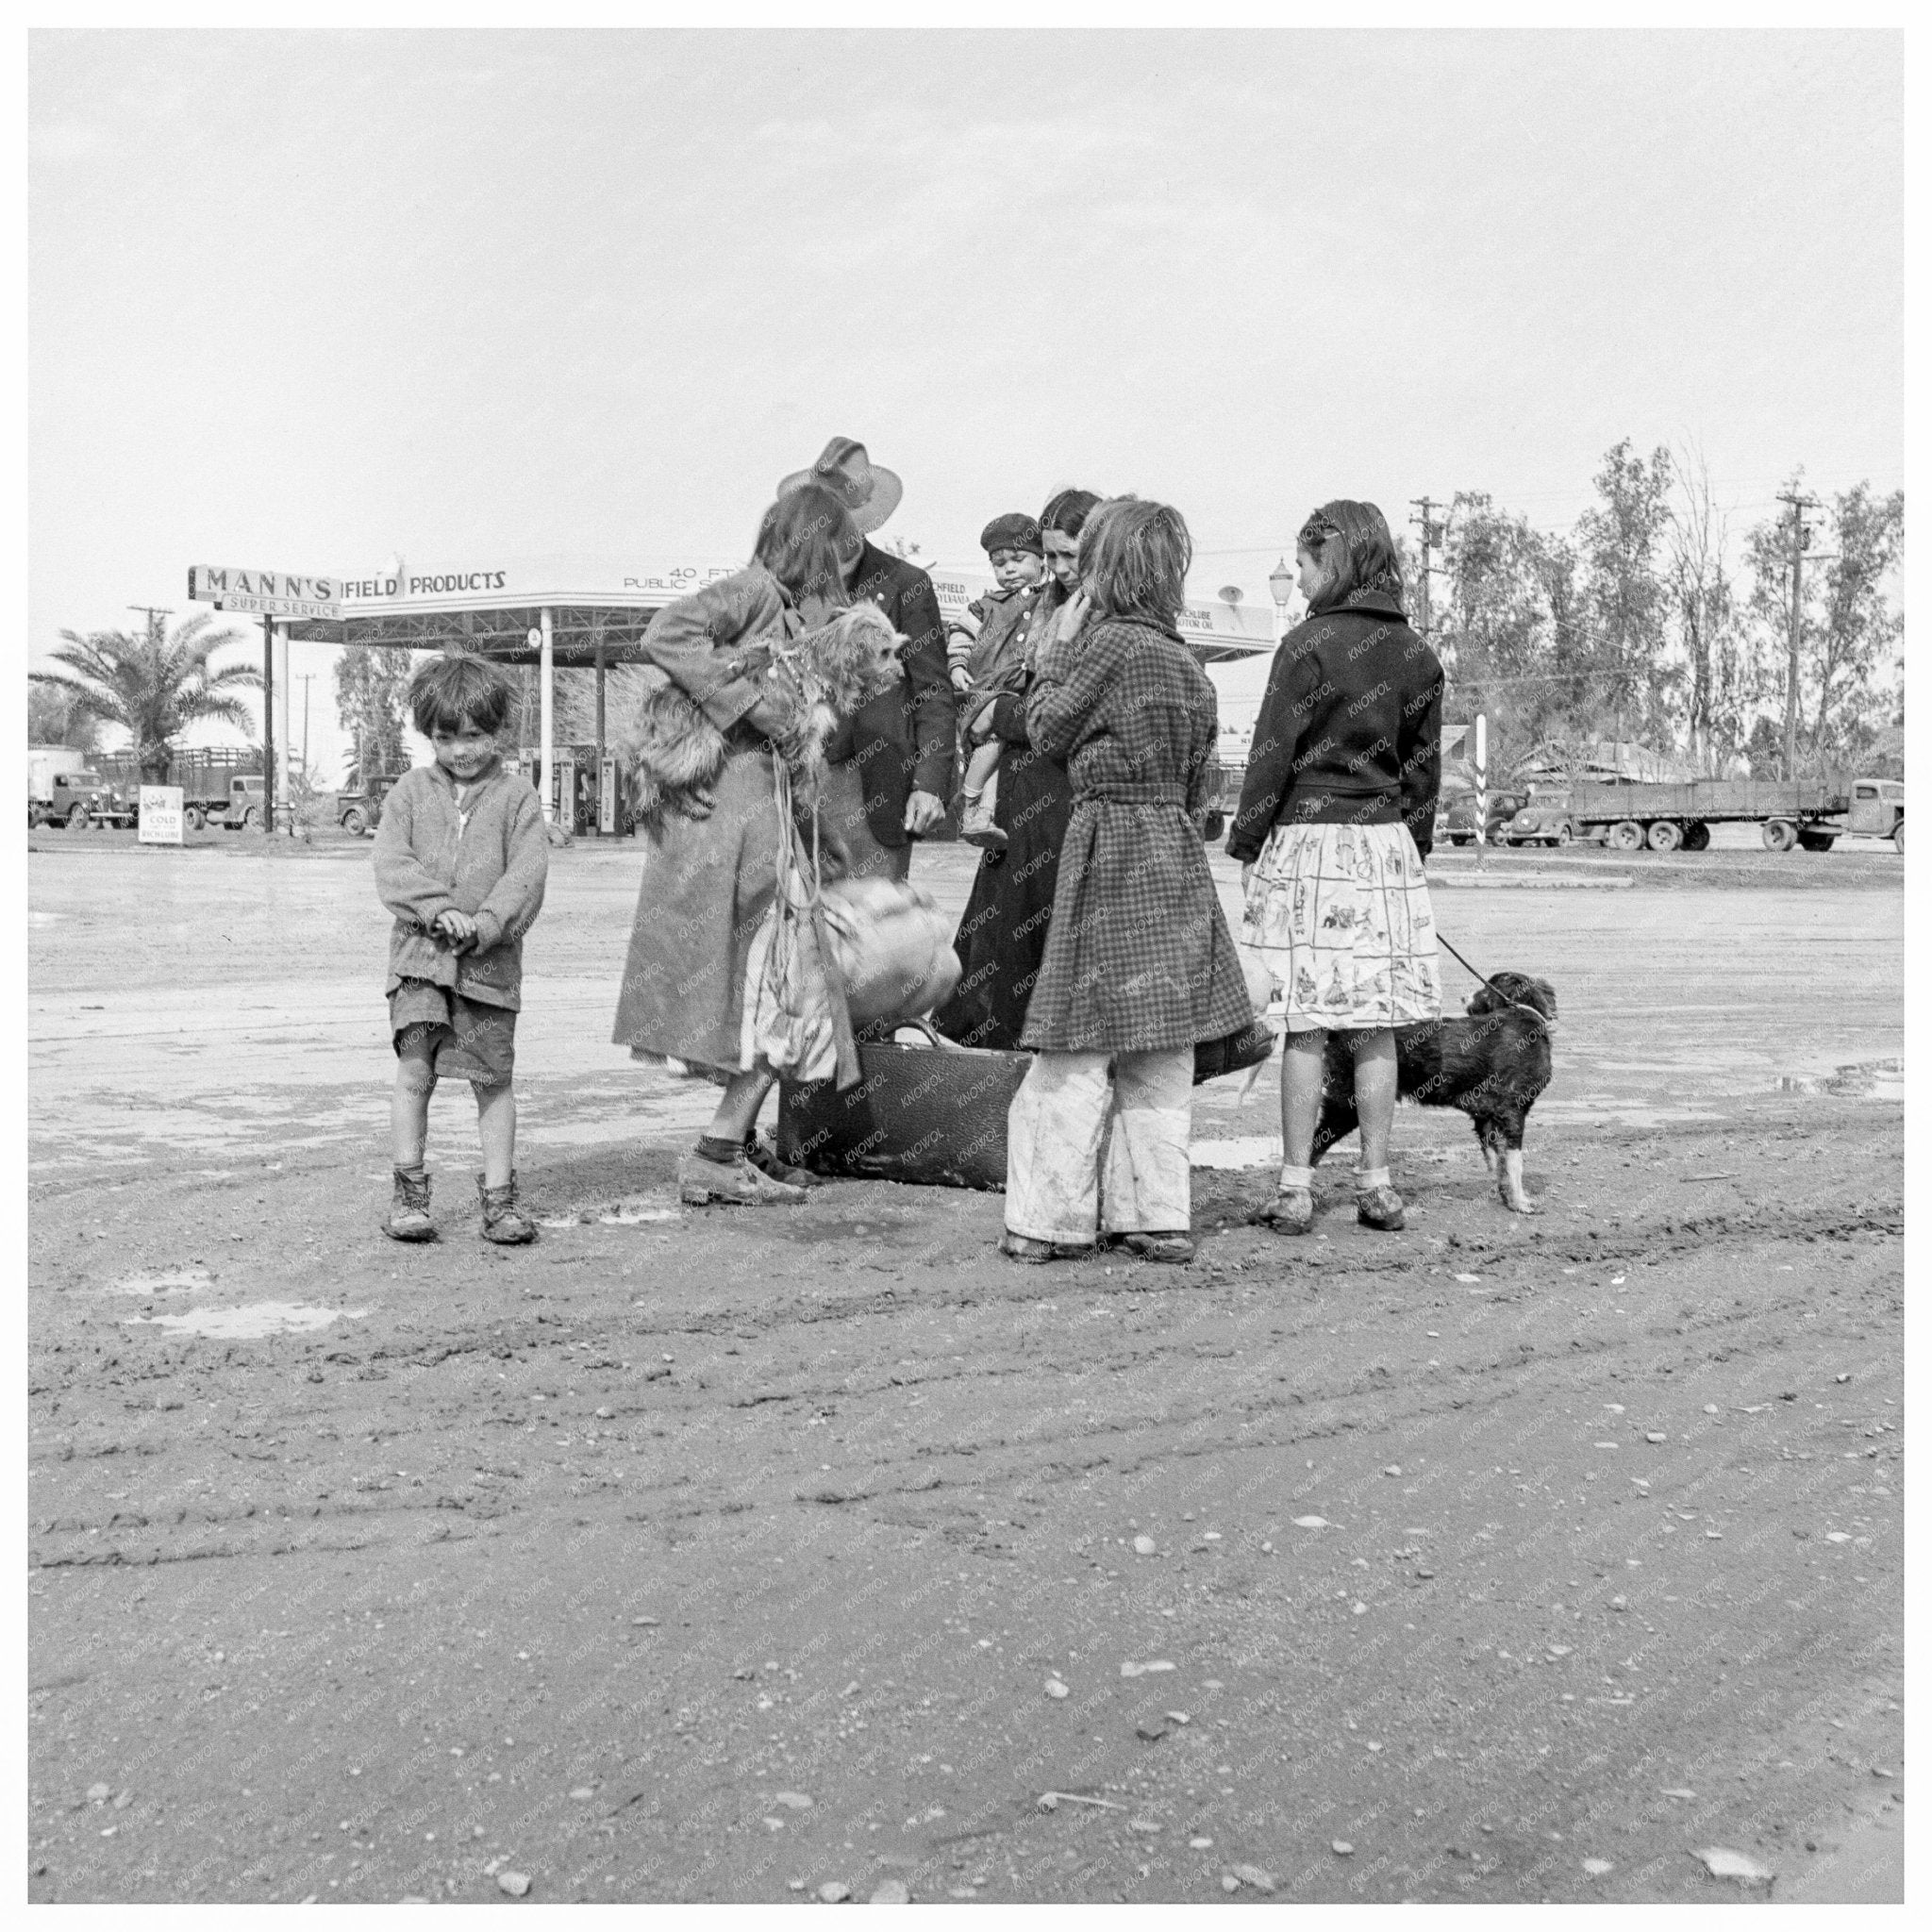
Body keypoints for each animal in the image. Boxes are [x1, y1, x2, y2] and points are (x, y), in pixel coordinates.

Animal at [610, 602, 904, 830]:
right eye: (885, 652)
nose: (901, 674)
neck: (817, 663)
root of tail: (655, 701)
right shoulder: (803, 729)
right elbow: (808, 766)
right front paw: (808, 795)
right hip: (700, 742)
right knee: (656, 767)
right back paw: (688, 801)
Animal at [1306, 974, 1560, 1213]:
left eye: (1485, 989)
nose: (1462, 997)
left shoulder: (1487, 1115)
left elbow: (1499, 1161)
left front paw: (1508, 1196)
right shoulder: (1512, 1110)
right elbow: (1514, 1163)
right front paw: (1521, 1202)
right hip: (1346, 1103)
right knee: (1315, 1145)